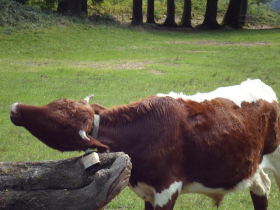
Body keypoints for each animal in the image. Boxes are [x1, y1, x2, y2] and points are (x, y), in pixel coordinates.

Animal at [9, 79, 280, 210]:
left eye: (58, 123)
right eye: (55, 102)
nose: (14, 107)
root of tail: (260, 84)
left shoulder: (167, 188)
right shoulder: (149, 192)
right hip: (250, 165)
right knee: (262, 187)